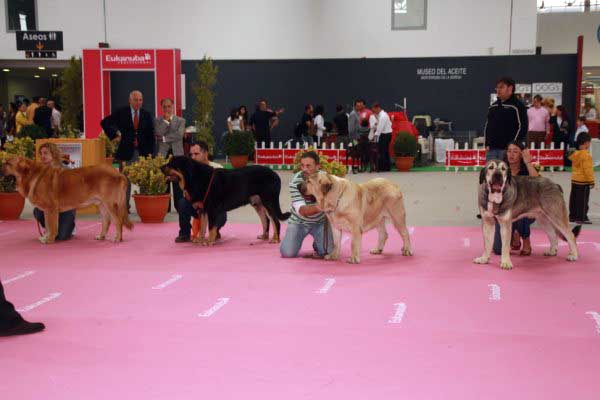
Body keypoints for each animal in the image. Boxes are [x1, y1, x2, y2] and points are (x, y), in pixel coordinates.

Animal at [1, 156, 132, 244]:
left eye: (8, 163)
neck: (30, 175)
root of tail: (119, 173)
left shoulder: (51, 209)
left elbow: (52, 227)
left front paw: (49, 239)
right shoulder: (47, 211)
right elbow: (48, 226)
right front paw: (45, 237)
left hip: (110, 204)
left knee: (118, 221)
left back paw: (117, 238)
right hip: (101, 204)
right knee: (106, 221)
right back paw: (101, 236)